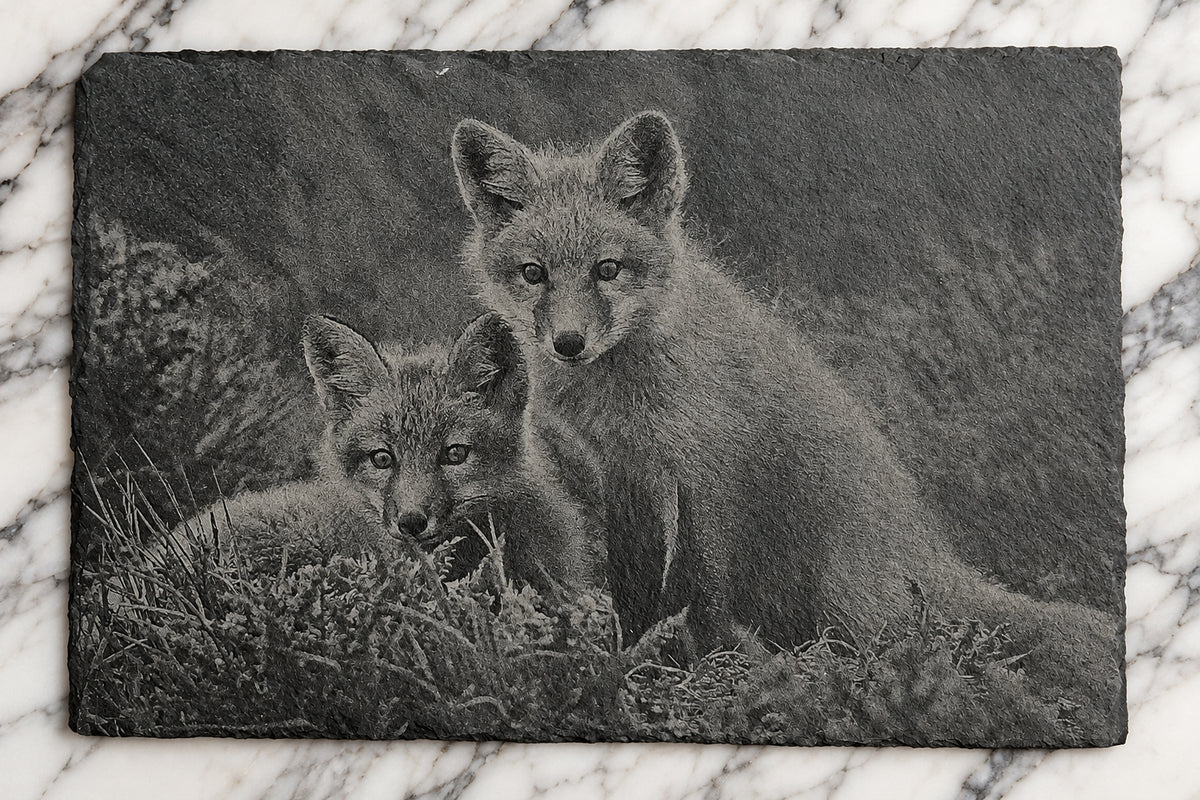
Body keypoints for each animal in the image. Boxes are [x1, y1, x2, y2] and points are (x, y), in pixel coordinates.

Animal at [450, 111, 1123, 721]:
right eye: (534, 274)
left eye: (607, 270)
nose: (568, 342)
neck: (625, 386)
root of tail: (927, 545)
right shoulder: (627, 473)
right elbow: (634, 582)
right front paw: (633, 655)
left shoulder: (702, 473)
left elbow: (699, 589)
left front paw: (706, 669)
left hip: (842, 590)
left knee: (910, 648)